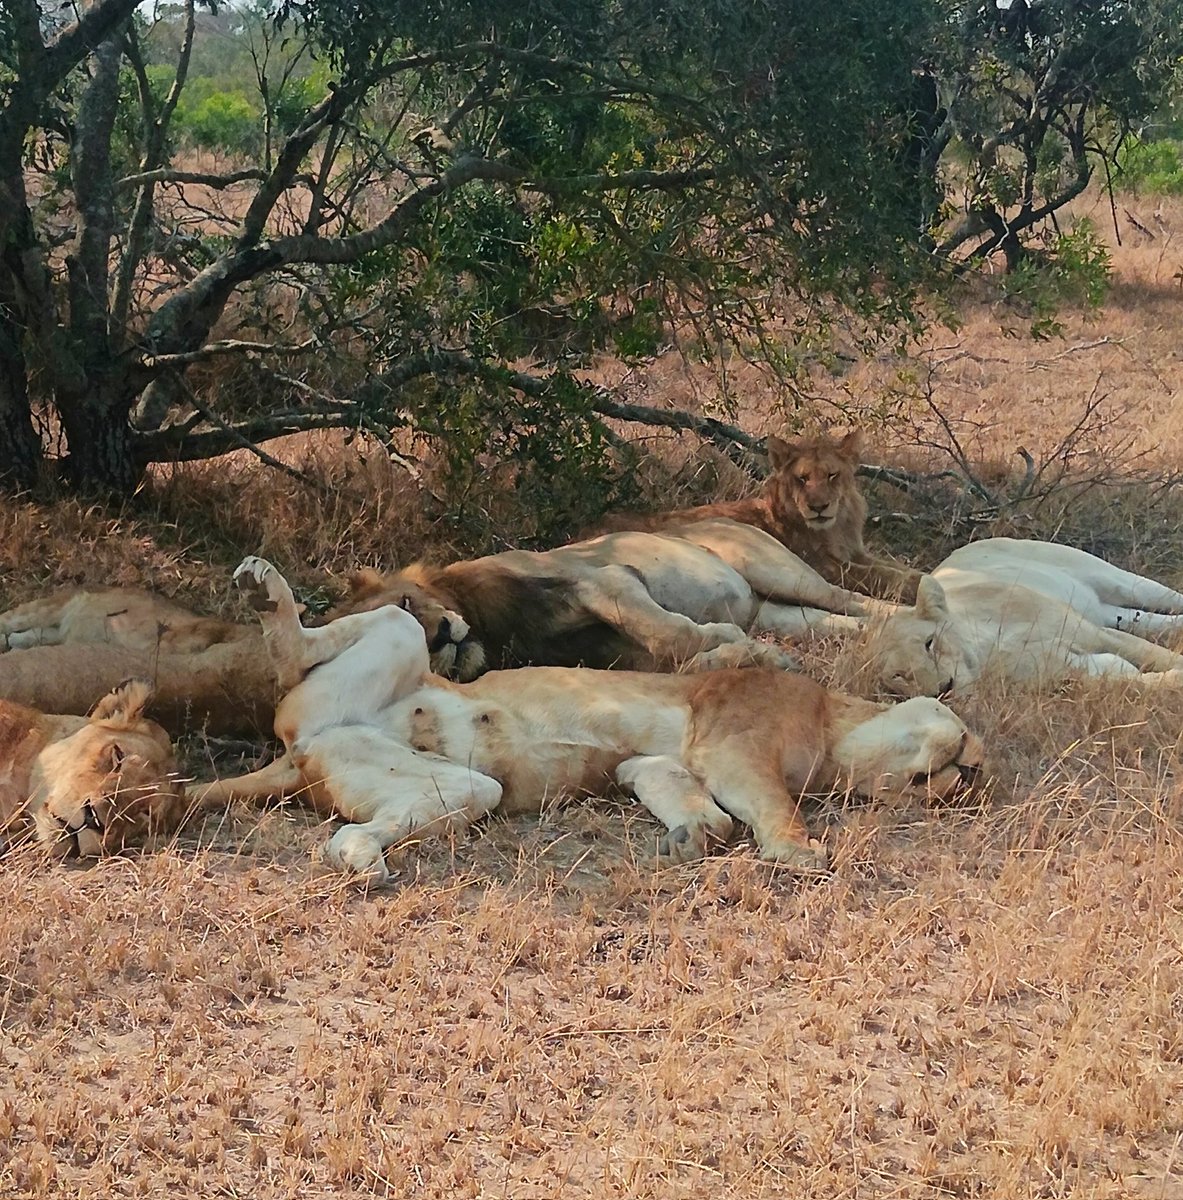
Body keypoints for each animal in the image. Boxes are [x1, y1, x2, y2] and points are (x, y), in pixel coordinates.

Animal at [197, 557, 985, 883]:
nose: (974, 769)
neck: (832, 725)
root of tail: (299, 752)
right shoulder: (736, 742)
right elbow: (772, 807)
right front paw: (800, 853)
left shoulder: (658, 762)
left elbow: (704, 810)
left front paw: (688, 838)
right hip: (395, 635)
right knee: (306, 644)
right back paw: (264, 591)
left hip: (445, 786)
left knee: (359, 828)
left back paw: (363, 862)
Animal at [590, 430, 922, 603]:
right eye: (802, 479)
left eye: (832, 475)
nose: (818, 507)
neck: (836, 527)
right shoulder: (826, 565)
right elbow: (881, 575)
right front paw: (915, 586)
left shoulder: (855, 553)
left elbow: (893, 567)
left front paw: (922, 577)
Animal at [865, 537, 1183, 697]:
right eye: (899, 675)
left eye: (929, 643)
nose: (944, 689)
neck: (987, 649)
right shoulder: (1063, 675)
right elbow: (1126, 680)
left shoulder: (1093, 632)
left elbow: (1155, 654)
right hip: (1107, 611)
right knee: (1144, 619)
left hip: (1114, 579)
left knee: (1163, 597)